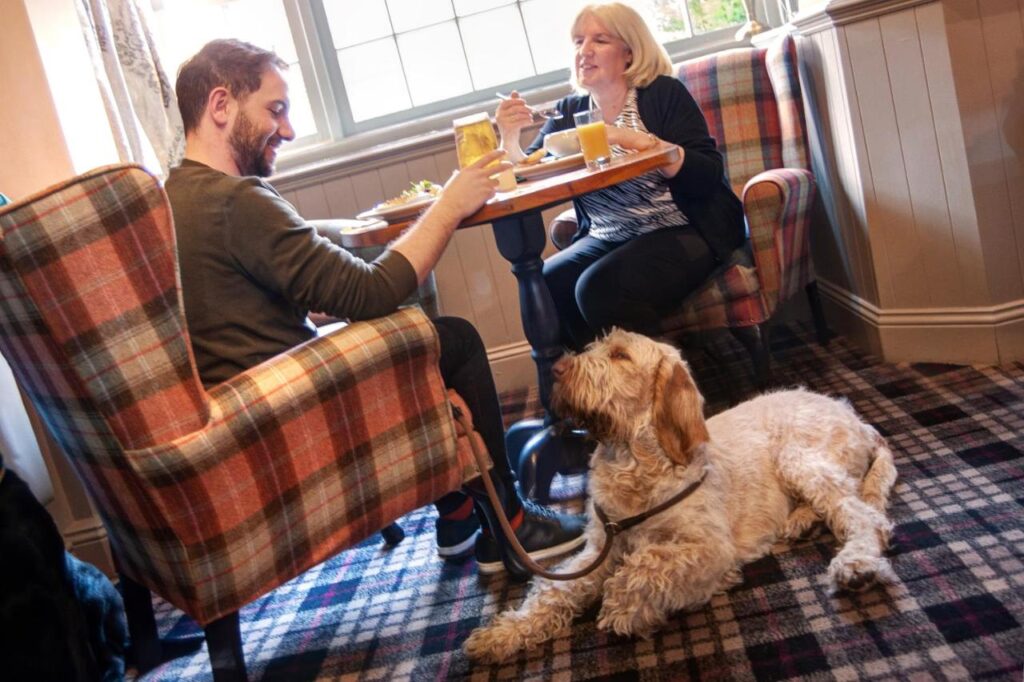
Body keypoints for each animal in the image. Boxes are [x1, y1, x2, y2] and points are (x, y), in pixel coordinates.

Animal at [464, 327, 897, 659]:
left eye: (620, 354)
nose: (554, 370)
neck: (634, 464)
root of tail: (857, 418)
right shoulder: (599, 549)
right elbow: (555, 589)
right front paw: (505, 632)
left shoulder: (709, 548)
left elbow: (647, 565)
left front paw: (626, 608)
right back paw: (802, 520)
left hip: (798, 457)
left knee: (865, 517)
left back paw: (855, 565)